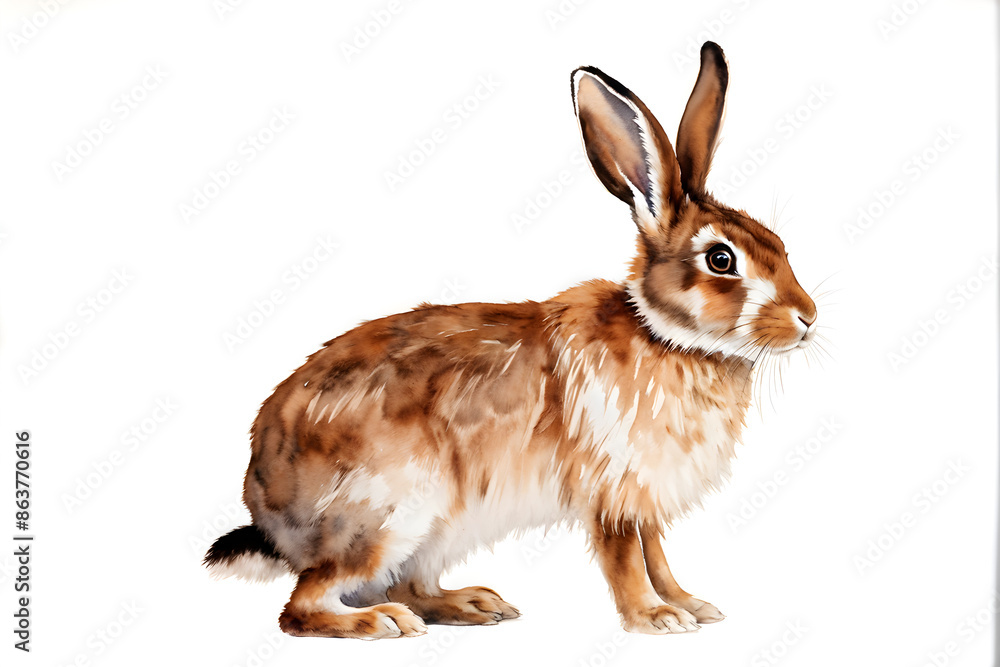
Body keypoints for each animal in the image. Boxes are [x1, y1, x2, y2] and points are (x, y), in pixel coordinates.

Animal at [204, 41, 818, 639]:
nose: (808, 317)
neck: (665, 337)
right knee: (304, 606)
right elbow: (625, 558)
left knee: (407, 586)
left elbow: (657, 554)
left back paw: (475, 604)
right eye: (721, 260)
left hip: (434, 531)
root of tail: (267, 510)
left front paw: (691, 604)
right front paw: (654, 618)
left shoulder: (643, 495)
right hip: (392, 514)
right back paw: (382, 622)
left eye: (777, 241)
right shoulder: (611, 489)